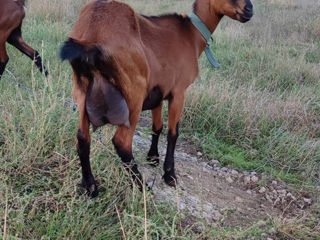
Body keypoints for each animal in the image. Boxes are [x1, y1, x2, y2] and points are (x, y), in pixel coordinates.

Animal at [61, 0, 254, 197]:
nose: (249, 10)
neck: (191, 35)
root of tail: (90, 36)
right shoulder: (179, 92)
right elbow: (173, 133)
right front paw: (170, 175)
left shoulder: (158, 94)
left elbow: (157, 127)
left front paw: (153, 157)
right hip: (134, 95)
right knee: (122, 142)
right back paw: (142, 185)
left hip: (81, 92)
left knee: (82, 138)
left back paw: (89, 186)